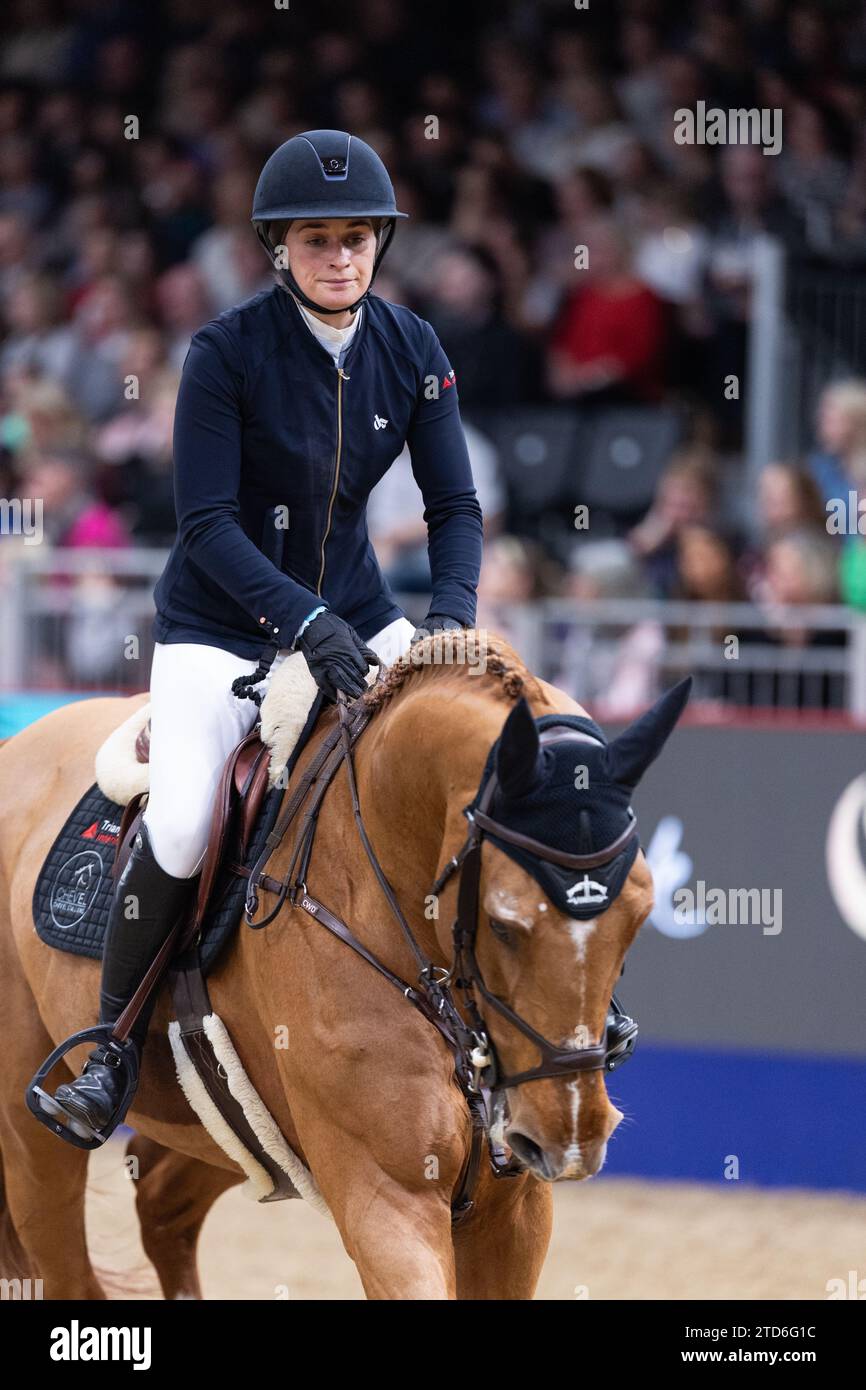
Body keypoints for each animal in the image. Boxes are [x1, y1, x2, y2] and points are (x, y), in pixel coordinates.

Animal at [0, 636, 675, 1295]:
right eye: (504, 925)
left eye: (640, 914)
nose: (569, 1139)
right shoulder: (386, 1200)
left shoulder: (515, 1210)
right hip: (33, 1135)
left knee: (164, 1206)